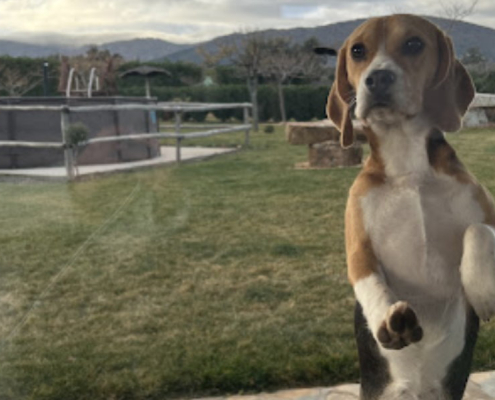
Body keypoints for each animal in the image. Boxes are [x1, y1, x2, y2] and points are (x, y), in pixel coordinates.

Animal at [330, 14, 495, 398]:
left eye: (414, 44)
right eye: (358, 51)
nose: (378, 78)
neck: (407, 163)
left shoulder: (488, 211)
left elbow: (477, 229)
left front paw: (481, 288)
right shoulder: (358, 247)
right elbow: (371, 283)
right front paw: (387, 317)